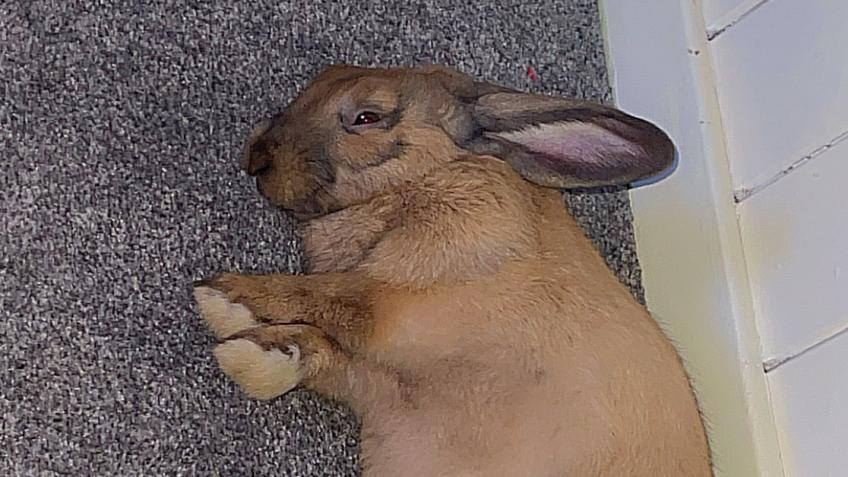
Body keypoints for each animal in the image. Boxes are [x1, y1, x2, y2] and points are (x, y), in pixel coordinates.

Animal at [193, 64, 712, 477]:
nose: (257, 156)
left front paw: (224, 299)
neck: (420, 181)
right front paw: (261, 354)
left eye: (367, 116)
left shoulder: (397, 300)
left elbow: (329, 297)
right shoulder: (380, 389)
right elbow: (326, 351)